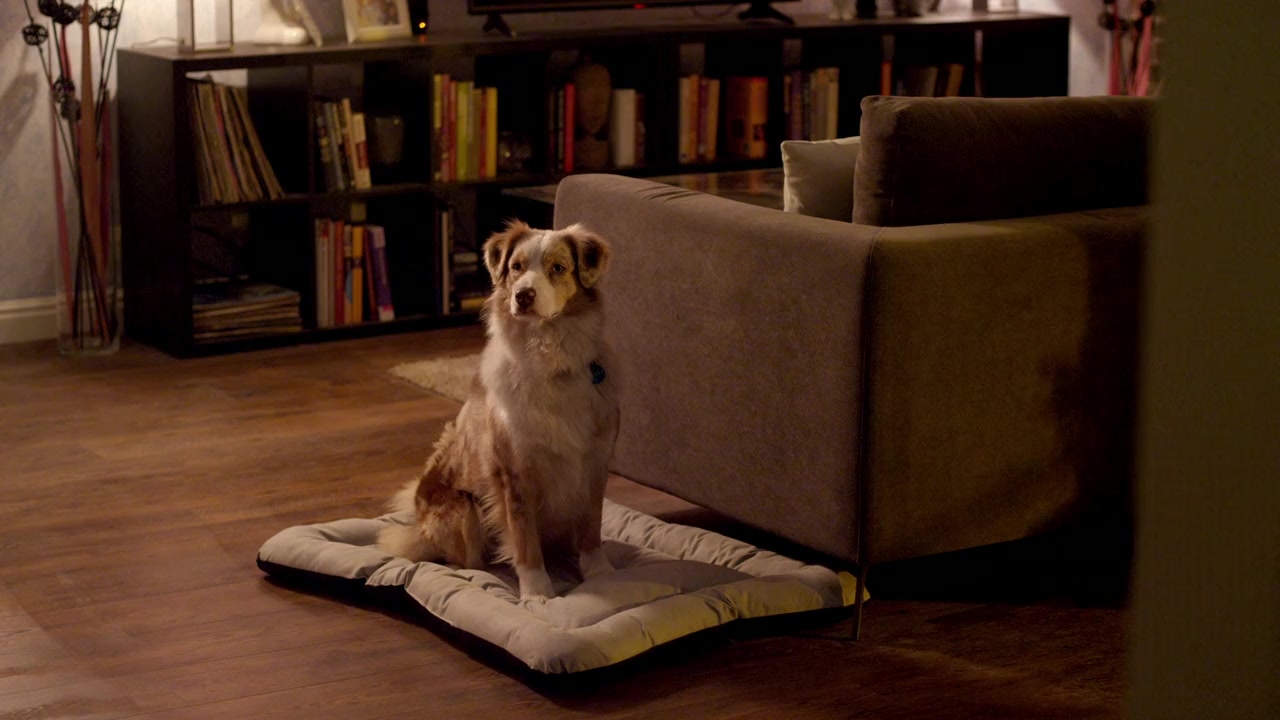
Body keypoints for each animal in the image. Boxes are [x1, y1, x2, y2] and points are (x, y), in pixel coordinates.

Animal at [377, 221, 619, 601]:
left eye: (558, 268)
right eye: (516, 267)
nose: (523, 295)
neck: (550, 355)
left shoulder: (595, 460)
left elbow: (591, 525)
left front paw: (600, 573)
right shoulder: (514, 471)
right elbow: (524, 538)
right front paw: (537, 595)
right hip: (466, 514)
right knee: (464, 561)